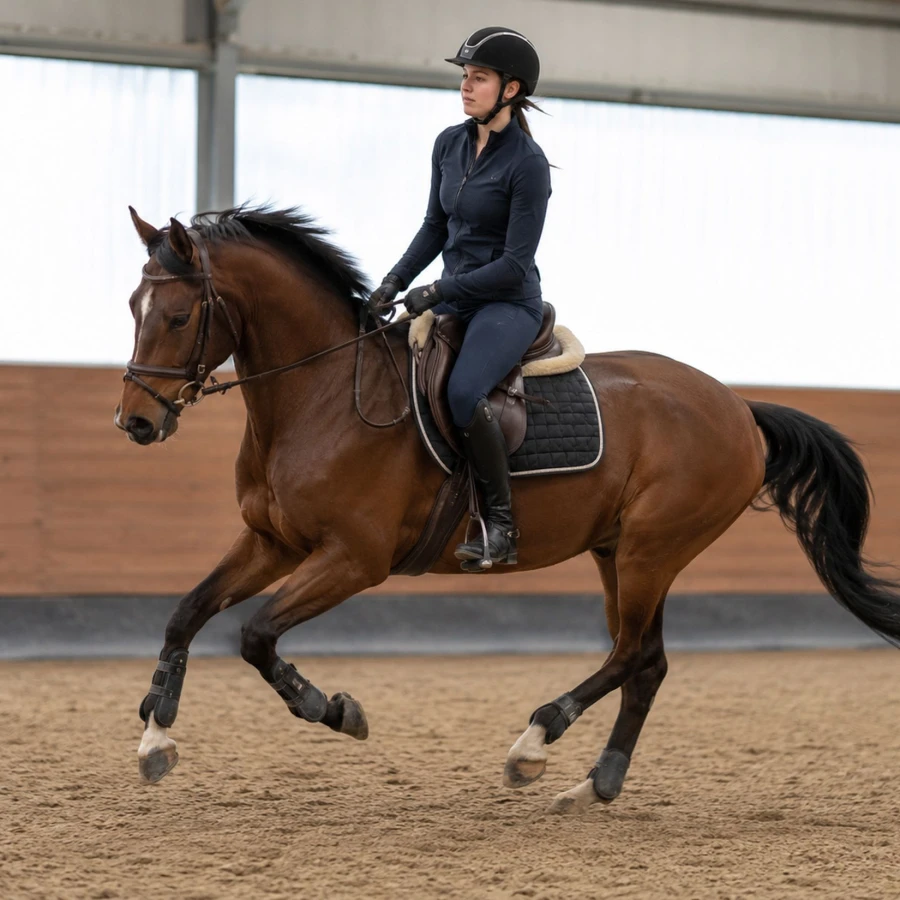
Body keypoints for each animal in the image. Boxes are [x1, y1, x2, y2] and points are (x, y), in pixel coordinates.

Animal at [116, 205, 900, 814]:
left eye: (179, 316)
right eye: (133, 308)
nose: (136, 423)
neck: (324, 394)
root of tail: (739, 406)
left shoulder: (353, 559)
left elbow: (256, 635)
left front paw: (332, 709)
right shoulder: (271, 541)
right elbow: (187, 612)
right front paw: (156, 736)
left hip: (652, 550)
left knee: (630, 655)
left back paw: (534, 743)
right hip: (619, 552)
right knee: (645, 661)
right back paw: (594, 784)